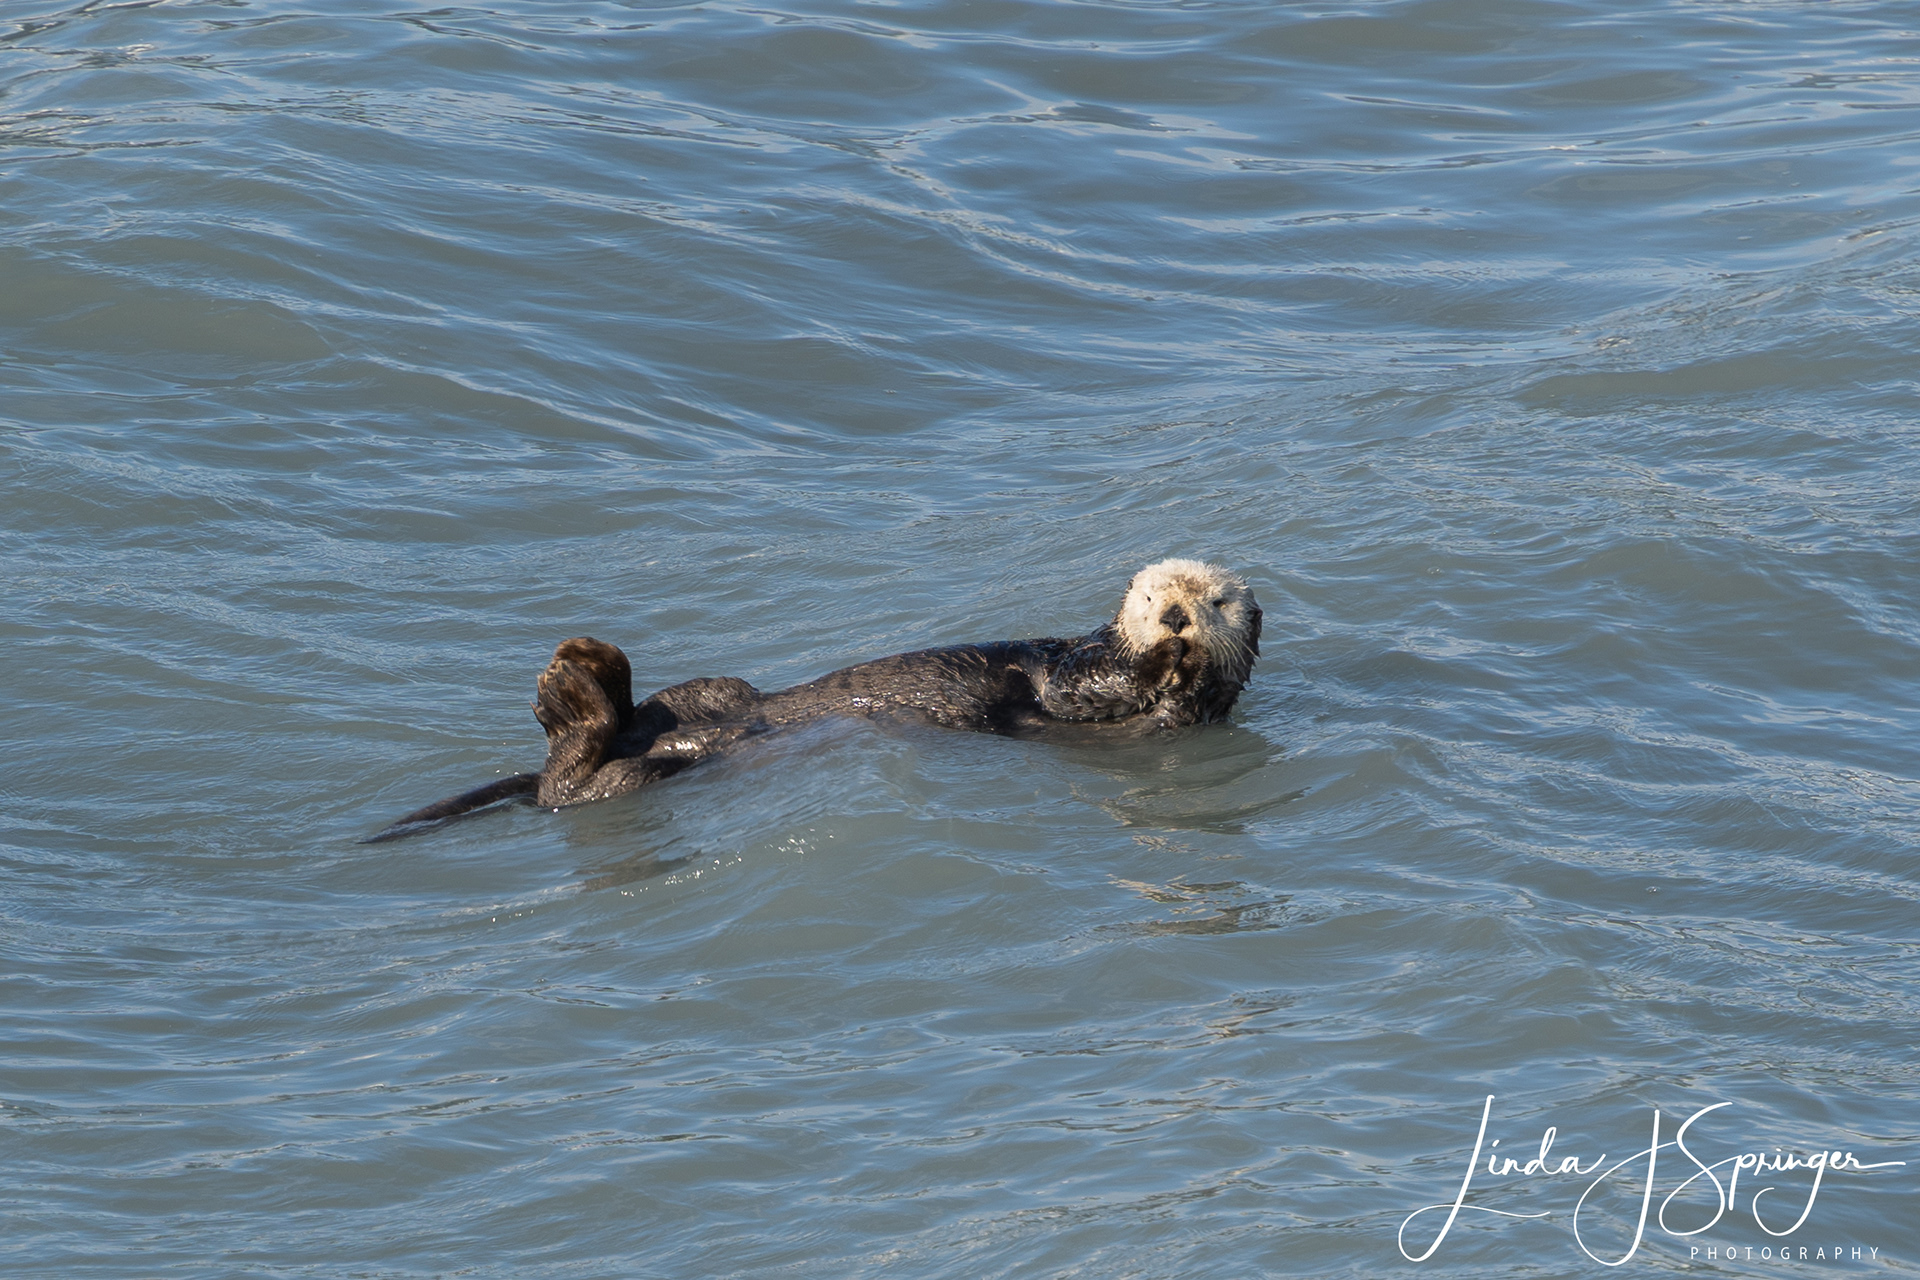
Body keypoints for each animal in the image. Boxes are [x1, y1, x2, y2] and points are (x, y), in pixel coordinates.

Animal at [367, 558, 1260, 841]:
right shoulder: (1075, 658)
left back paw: (571, 687)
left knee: (575, 779)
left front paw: (1183, 667)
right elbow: (1078, 681)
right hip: (702, 694)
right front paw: (1163, 659)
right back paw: (584, 665)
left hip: (629, 779)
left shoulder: (1159, 721)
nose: (1177, 618)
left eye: (1216, 600)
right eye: (1152, 595)